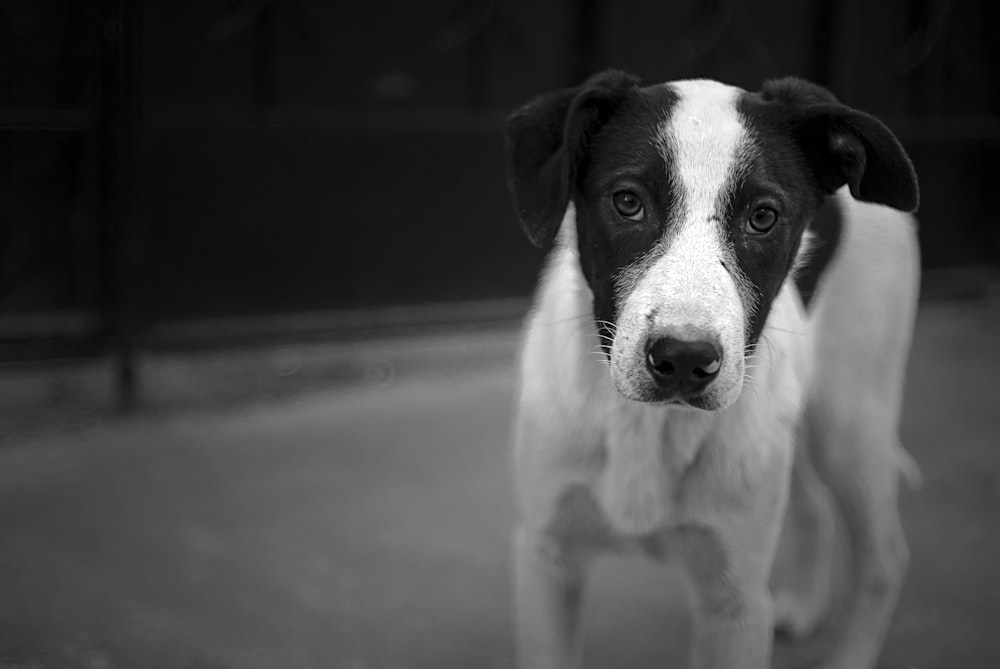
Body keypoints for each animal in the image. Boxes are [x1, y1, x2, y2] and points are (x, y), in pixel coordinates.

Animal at [508, 69, 920, 668]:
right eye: (627, 202)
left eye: (763, 216)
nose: (683, 358)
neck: (651, 426)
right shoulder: (545, 558)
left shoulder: (736, 602)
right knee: (815, 505)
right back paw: (804, 604)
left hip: (850, 418)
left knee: (885, 556)